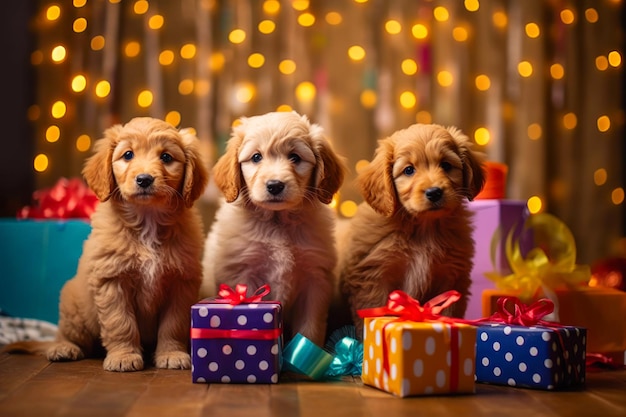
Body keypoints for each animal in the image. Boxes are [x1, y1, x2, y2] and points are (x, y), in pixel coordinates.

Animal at [200, 109, 344, 344]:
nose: (275, 185)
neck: (277, 223)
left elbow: (309, 327)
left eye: (295, 157)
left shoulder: (315, 280)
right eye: (256, 157)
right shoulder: (242, 272)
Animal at [338, 122, 486, 334]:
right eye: (408, 170)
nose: (434, 192)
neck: (423, 228)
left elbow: (449, 310)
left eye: (446, 165)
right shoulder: (373, 277)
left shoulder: (452, 277)